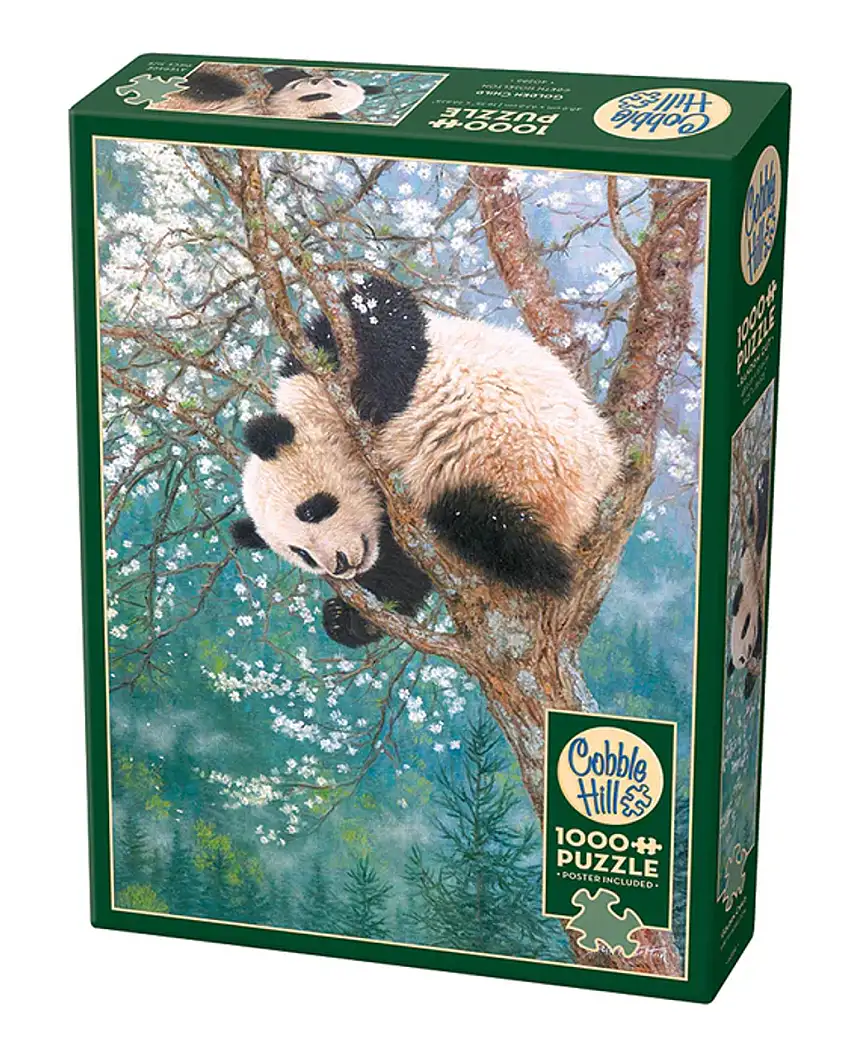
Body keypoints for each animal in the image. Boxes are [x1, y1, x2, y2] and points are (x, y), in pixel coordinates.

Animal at [231, 277, 621, 648]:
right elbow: (402, 568)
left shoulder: (318, 370)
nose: (340, 566)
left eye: (311, 510)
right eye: (301, 554)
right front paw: (347, 621)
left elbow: (377, 310)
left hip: (544, 461)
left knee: (489, 528)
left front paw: (374, 398)